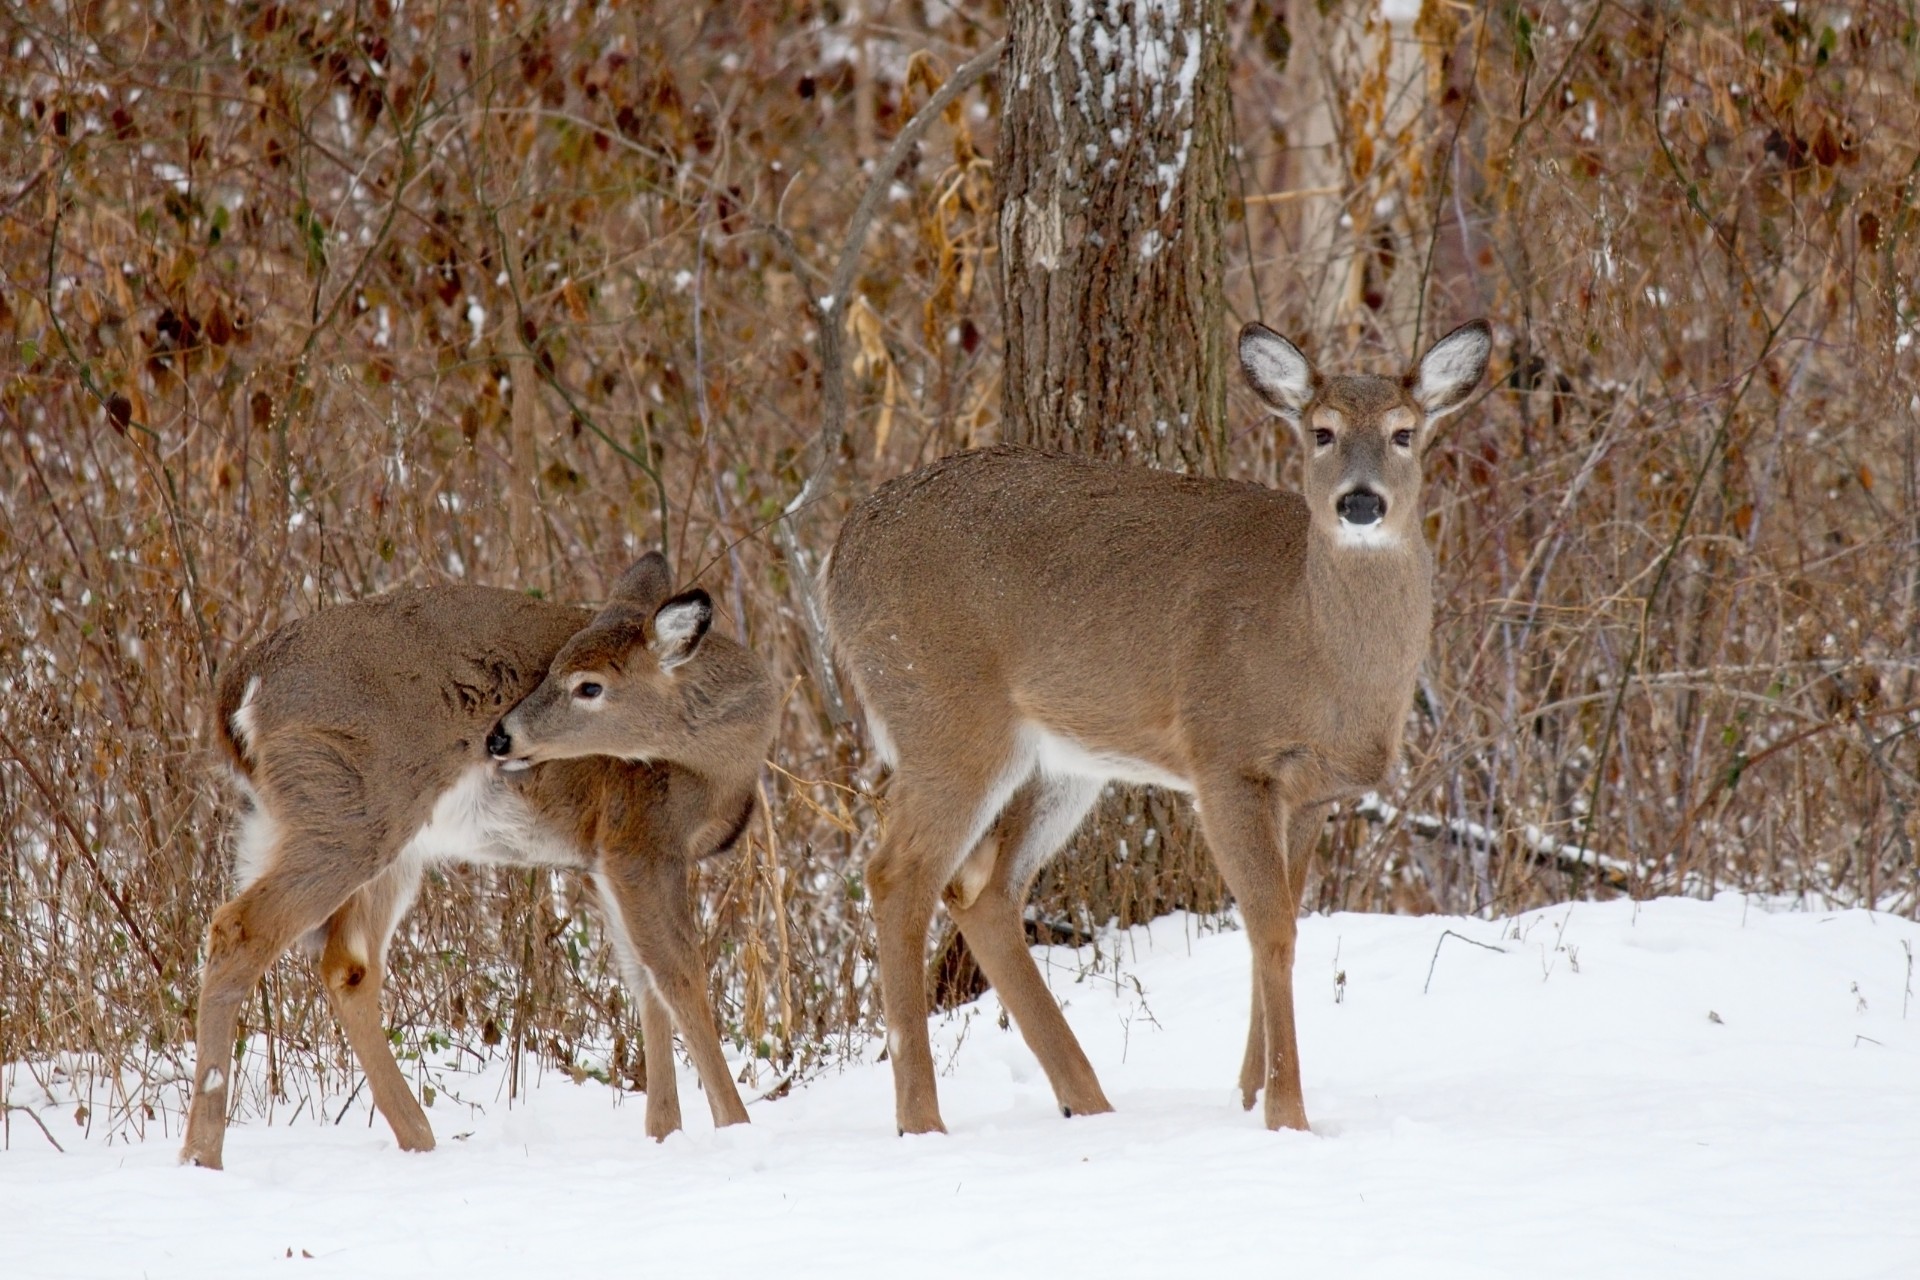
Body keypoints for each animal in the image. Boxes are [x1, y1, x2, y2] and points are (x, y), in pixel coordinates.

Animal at [180, 552, 775, 1174]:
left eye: (590, 684)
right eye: (557, 672)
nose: (500, 737)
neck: (724, 766)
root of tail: (238, 691)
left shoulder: (604, 856)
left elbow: (642, 979)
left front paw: (664, 1134)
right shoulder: (642, 837)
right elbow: (679, 974)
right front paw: (735, 1126)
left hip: (344, 833)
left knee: (347, 963)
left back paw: (418, 1138)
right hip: (348, 810)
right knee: (241, 928)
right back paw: (203, 1156)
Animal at [817, 318, 1489, 1128]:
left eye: (1403, 432)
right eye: (1321, 431)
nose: (1361, 504)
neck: (1314, 647)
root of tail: (837, 558)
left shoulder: (1312, 792)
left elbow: (1283, 922)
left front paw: (1247, 1097)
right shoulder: (1226, 756)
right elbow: (1270, 927)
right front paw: (1286, 1112)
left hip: (1062, 759)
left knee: (986, 894)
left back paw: (1088, 1102)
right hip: (945, 715)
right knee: (898, 876)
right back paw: (924, 1120)